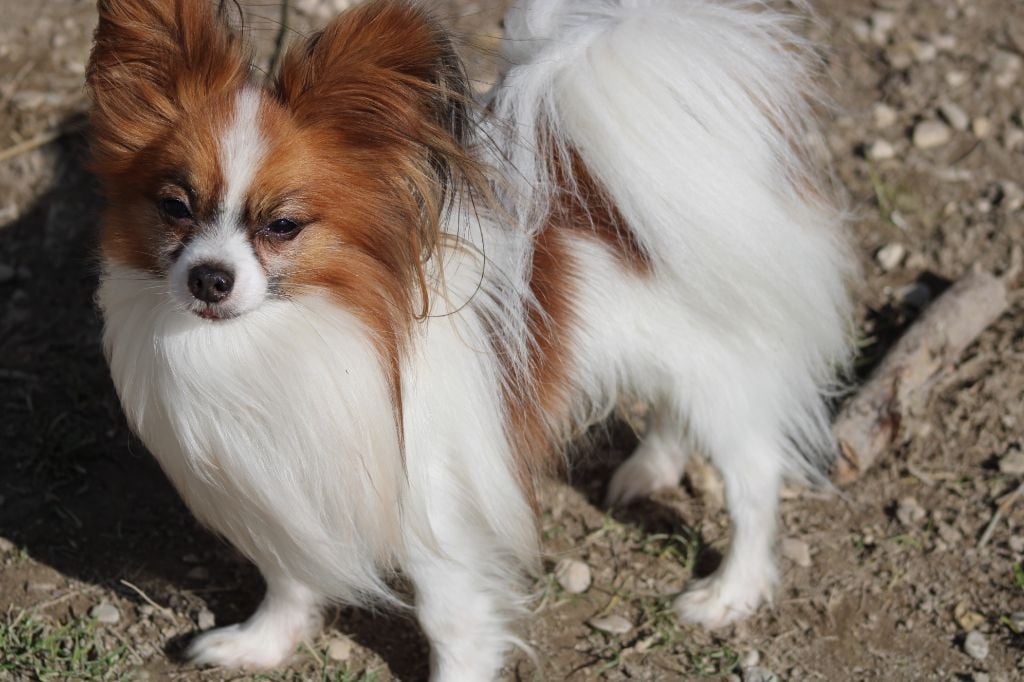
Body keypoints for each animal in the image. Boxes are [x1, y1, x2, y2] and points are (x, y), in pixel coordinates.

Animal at [87, 0, 854, 678]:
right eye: (174, 207)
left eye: (282, 226)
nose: (209, 278)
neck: (287, 335)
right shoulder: (287, 491)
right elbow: (289, 578)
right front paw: (261, 644)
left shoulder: (438, 511)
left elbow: (448, 619)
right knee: (672, 412)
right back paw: (650, 470)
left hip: (720, 372)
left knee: (753, 479)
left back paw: (731, 591)